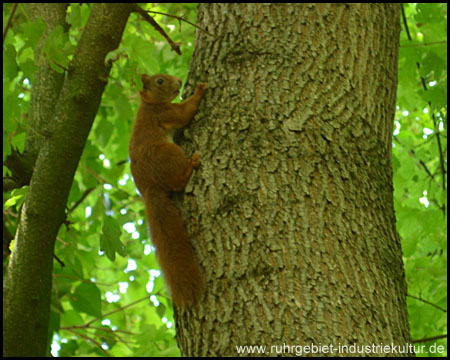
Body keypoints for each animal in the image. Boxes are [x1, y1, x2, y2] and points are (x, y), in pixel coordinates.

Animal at [128, 73, 207, 306]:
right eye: (160, 81)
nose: (180, 81)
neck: (149, 104)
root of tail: (149, 188)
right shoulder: (165, 113)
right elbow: (185, 112)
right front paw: (200, 90)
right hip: (170, 154)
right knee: (178, 182)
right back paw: (191, 166)